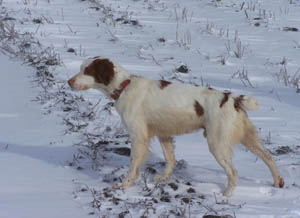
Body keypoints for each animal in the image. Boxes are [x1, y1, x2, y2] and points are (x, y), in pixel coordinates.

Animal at [68, 57, 284, 197]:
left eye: (87, 71)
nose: (69, 81)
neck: (125, 86)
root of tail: (232, 99)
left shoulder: (139, 137)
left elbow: (133, 166)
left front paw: (124, 185)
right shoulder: (163, 134)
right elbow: (170, 159)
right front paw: (163, 178)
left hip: (217, 144)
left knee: (233, 172)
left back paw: (226, 196)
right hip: (248, 137)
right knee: (269, 157)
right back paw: (278, 182)